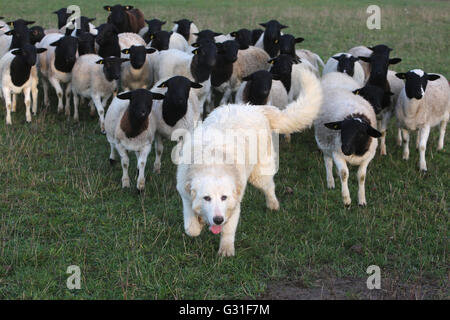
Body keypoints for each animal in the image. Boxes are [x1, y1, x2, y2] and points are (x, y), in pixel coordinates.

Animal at [174, 69, 322, 256]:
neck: (213, 161)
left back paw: (273, 204)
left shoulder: (234, 204)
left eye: (224, 197)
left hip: (258, 175)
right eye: (206, 198)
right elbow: (191, 228)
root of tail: (255, 108)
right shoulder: (185, 195)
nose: (218, 219)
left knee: (269, 187)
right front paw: (198, 223)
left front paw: (226, 250)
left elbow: (228, 231)